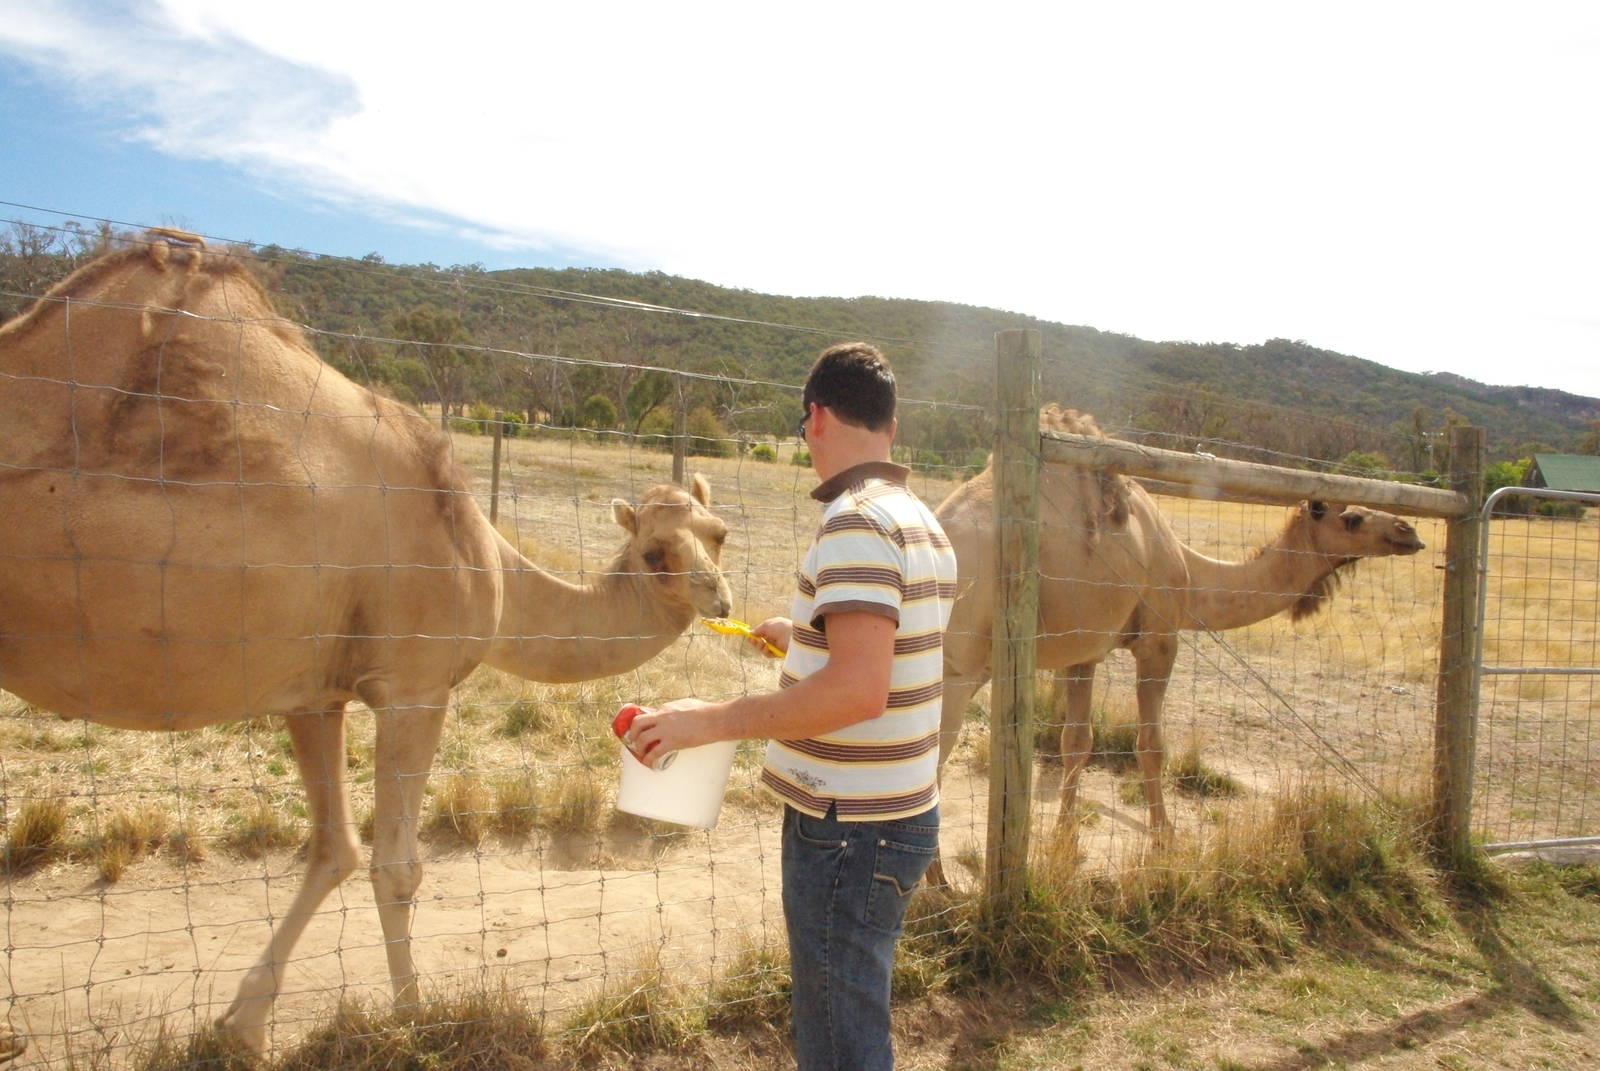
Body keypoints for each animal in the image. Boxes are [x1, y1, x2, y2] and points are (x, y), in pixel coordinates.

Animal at [0, 232, 733, 1051]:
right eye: (655, 553)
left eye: (718, 534)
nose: (720, 596)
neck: (477, 547)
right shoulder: (414, 685)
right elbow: (396, 864)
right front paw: (414, 1016)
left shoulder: (313, 693)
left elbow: (333, 849)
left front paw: (242, 1021)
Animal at [935, 406, 1424, 861]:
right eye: (1352, 518)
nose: (1409, 531)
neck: (1190, 574)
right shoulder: (1159, 639)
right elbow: (1151, 745)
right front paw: (1164, 842)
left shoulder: (1084, 649)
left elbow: (1076, 741)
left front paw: (1065, 843)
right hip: (957, 666)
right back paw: (941, 884)